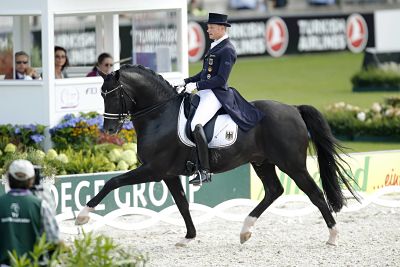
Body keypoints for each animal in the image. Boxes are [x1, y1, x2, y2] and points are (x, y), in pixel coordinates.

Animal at [76, 65, 360, 247]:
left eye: (115, 94)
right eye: (101, 94)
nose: (109, 129)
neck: (160, 115)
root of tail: (293, 108)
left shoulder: (154, 169)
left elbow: (113, 182)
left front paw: (83, 215)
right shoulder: (168, 173)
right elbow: (182, 204)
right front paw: (189, 237)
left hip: (292, 164)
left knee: (315, 194)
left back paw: (333, 237)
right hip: (262, 162)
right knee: (274, 191)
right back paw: (245, 231)